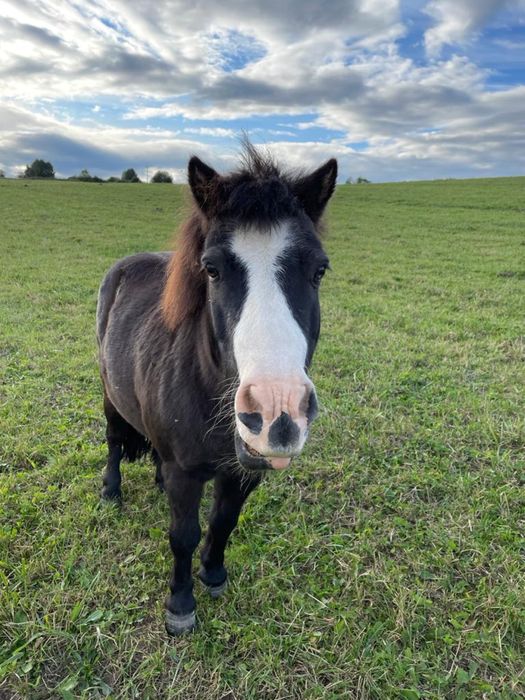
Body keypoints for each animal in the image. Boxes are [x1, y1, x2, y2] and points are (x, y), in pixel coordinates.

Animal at [95, 144, 336, 636]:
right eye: (211, 269)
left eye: (319, 270)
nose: (278, 413)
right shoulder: (186, 475)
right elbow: (182, 535)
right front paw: (181, 603)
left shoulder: (243, 471)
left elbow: (224, 520)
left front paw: (214, 573)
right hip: (110, 394)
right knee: (113, 439)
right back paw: (111, 490)